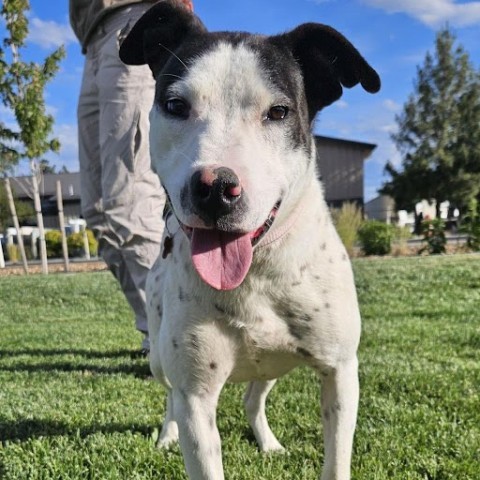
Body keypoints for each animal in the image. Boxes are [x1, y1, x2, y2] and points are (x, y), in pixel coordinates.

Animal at [119, 4, 378, 480]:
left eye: (278, 112)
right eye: (175, 105)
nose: (216, 188)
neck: (258, 268)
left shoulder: (340, 372)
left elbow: (336, 457)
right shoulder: (197, 396)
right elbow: (189, 413)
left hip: (271, 363)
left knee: (252, 398)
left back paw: (268, 442)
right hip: (160, 359)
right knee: (169, 396)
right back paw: (166, 436)